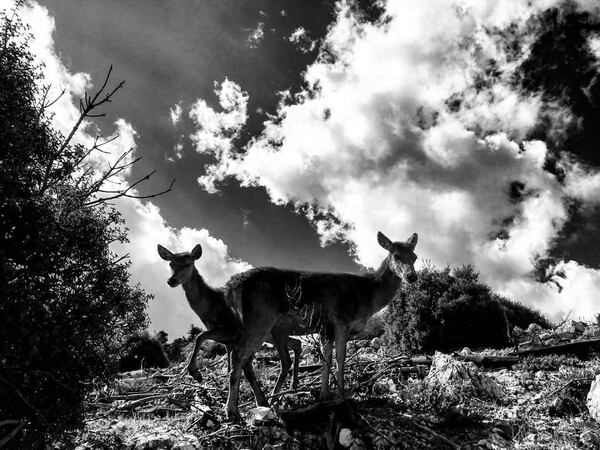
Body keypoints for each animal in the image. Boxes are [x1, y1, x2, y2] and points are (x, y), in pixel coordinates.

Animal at [157, 246, 302, 414]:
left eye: (187, 264)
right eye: (171, 264)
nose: (171, 280)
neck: (209, 307)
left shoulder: (232, 330)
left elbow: (200, 336)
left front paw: (196, 373)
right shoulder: (229, 340)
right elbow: (234, 366)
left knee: (286, 357)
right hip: (269, 335)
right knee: (296, 343)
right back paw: (292, 387)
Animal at [223, 232, 420, 422]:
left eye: (414, 256)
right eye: (396, 255)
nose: (412, 276)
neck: (368, 299)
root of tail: (230, 286)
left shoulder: (326, 329)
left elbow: (327, 357)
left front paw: (324, 394)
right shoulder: (341, 320)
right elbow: (340, 358)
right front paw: (341, 394)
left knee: (245, 358)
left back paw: (261, 401)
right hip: (260, 318)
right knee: (239, 356)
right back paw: (232, 411)